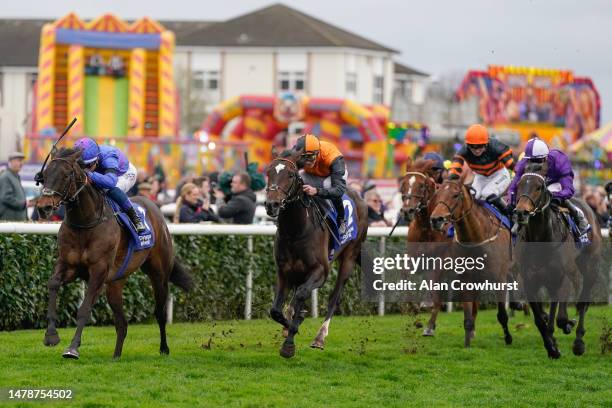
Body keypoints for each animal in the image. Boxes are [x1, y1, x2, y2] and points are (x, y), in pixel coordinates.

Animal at [36, 148, 194, 358]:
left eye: (66, 175)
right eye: (44, 175)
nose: (43, 207)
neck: (86, 223)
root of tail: (155, 208)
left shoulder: (99, 270)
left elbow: (84, 309)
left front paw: (73, 348)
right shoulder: (68, 265)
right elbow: (53, 284)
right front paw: (51, 335)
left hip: (159, 274)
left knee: (159, 312)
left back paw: (164, 349)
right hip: (115, 283)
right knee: (122, 323)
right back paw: (116, 356)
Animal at [264, 149, 368, 356]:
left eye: (290, 175)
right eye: (269, 172)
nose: (272, 204)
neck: (296, 231)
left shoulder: (320, 272)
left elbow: (301, 295)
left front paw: (290, 341)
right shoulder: (283, 272)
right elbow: (276, 310)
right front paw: (289, 325)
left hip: (350, 256)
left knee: (334, 298)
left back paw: (319, 337)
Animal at [400, 158, 452, 336]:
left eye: (422, 185)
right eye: (403, 184)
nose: (407, 210)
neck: (425, 226)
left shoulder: (441, 259)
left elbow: (435, 286)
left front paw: (429, 325)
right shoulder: (413, 257)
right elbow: (405, 276)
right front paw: (414, 311)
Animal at [428, 172, 512, 348]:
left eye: (455, 195)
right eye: (437, 195)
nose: (436, 219)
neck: (476, 236)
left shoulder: (500, 278)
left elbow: (502, 313)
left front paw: (508, 338)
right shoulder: (466, 278)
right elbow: (467, 315)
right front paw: (467, 342)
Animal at [512, 161, 604, 358]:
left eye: (539, 187)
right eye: (519, 184)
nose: (521, 212)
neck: (541, 239)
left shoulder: (564, 278)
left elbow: (562, 316)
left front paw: (568, 327)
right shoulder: (530, 281)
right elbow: (540, 319)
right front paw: (552, 347)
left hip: (590, 267)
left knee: (583, 302)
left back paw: (578, 341)